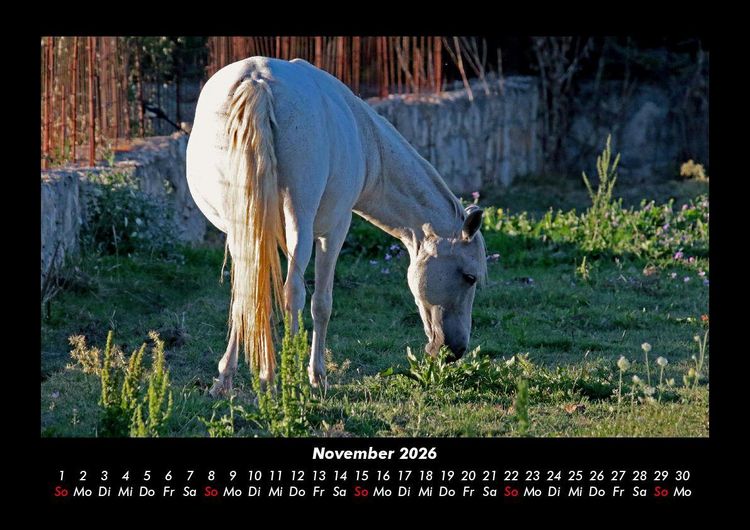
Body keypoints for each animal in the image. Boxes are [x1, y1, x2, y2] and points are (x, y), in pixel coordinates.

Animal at [186, 57, 487, 396]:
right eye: (470, 277)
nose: (456, 350)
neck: (368, 143)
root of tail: (258, 81)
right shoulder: (334, 230)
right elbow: (321, 303)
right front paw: (316, 376)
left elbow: (249, 296)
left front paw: (231, 376)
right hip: (299, 225)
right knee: (294, 293)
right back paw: (286, 380)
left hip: (244, 226)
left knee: (247, 292)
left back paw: (233, 380)